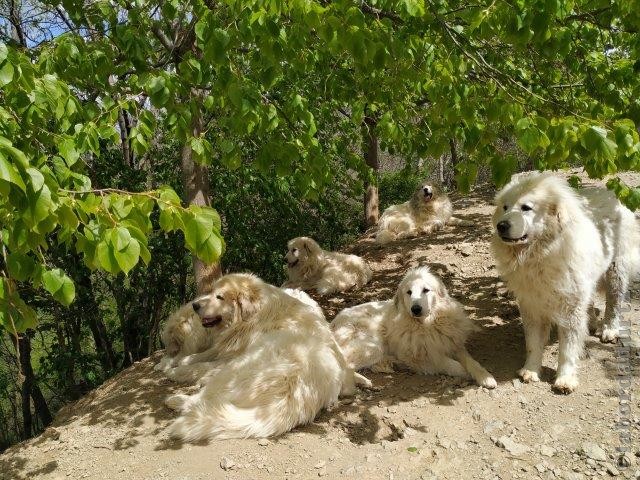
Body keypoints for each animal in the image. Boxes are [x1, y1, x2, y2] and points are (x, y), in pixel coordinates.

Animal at [162, 274, 360, 442]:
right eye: (210, 293)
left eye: (219, 297)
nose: (195, 306)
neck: (255, 316)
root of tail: (294, 395)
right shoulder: (228, 346)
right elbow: (203, 354)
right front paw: (179, 360)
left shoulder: (231, 356)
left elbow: (201, 365)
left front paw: (176, 370)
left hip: (237, 368)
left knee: (202, 398)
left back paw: (177, 399)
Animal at [328, 264, 498, 388]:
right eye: (409, 292)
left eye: (426, 290)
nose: (416, 309)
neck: (427, 324)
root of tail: (333, 323)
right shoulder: (422, 357)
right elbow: (452, 365)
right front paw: (468, 374)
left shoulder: (452, 344)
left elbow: (472, 362)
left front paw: (485, 376)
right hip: (372, 345)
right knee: (343, 365)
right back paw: (362, 381)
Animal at [492, 172, 636, 394]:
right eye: (505, 207)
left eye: (526, 208)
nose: (501, 225)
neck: (540, 255)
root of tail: (611, 194)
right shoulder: (532, 305)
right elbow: (533, 343)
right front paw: (530, 370)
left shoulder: (569, 309)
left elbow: (567, 349)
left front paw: (565, 379)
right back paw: (591, 322)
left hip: (615, 270)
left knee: (614, 302)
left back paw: (609, 329)